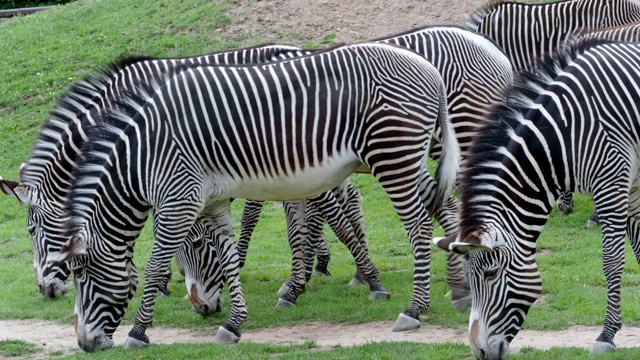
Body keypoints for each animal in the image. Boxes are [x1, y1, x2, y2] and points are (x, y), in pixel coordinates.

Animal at [48, 42, 460, 352]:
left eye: (80, 271)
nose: (84, 344)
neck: (143, 154)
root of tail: (429, 68)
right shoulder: (212, 201)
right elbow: (229, 260)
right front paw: (233, 324)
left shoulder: (179, 199)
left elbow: (153, 265)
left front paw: (137, 333)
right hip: (403, 158)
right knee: (448, 205)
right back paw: (459, 291)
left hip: (392, 156)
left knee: (419, 226)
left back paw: (415, 309)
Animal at [432, 38, 640, 358]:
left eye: (491, 274)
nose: (480, 353)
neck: (566, 133)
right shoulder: (629, 190)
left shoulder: (612, 185)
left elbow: (612, 260)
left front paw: (607, 335)